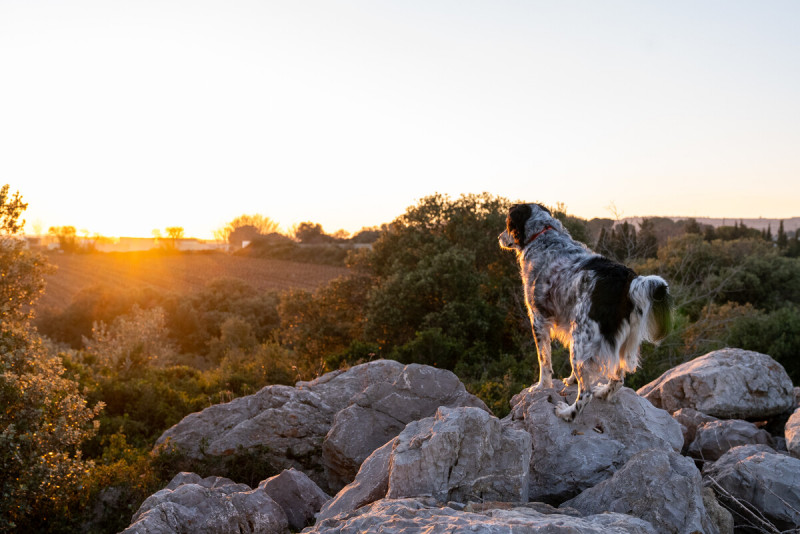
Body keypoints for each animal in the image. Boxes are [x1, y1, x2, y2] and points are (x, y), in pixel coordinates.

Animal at [496, 204, 672, 422]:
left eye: (507, 223)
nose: (499, 237)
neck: (543, 235)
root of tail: (628, 280)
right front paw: (571, 380)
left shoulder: (538, 319)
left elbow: (544, 362)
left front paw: (541, 387)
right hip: (615, 342)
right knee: (618, 379)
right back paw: (602, 392)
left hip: (581, 341)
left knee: (585, 394)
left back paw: (566, 412)